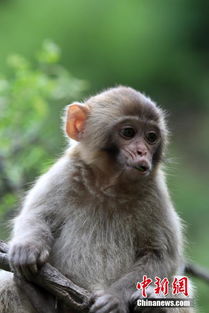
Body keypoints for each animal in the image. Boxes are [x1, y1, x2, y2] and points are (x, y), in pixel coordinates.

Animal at [0, 86, 193, 312]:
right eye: (128, 132)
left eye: (151, 137)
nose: (142, 152)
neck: (108, 187)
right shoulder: (64, 174)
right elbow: (36, 216)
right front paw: (28, 248)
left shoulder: (155, 193)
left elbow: (160, 255)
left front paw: (114, 298)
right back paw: (37, 297)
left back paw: (151, 304)